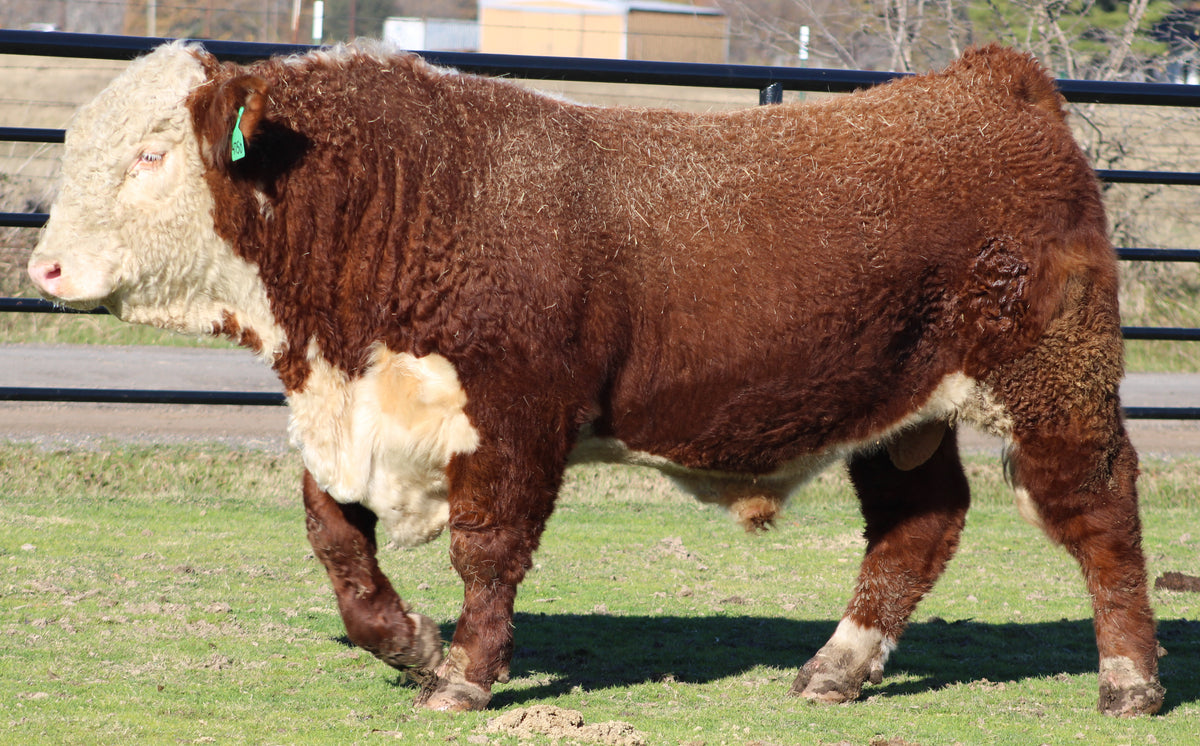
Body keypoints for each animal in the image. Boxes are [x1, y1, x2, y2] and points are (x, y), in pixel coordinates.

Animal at [25, 40, 1161, 719]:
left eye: (151, 155)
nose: (43, 269)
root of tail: (990, 80)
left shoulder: (517, 420)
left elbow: (487, 555)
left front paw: (465, 678)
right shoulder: (348, 418)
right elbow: (339, 553)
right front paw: (413, 647)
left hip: (1057, 385)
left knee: (1099, 513)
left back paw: (1130, 681)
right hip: (896, 410)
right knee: (919, 525)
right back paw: (836, 668)